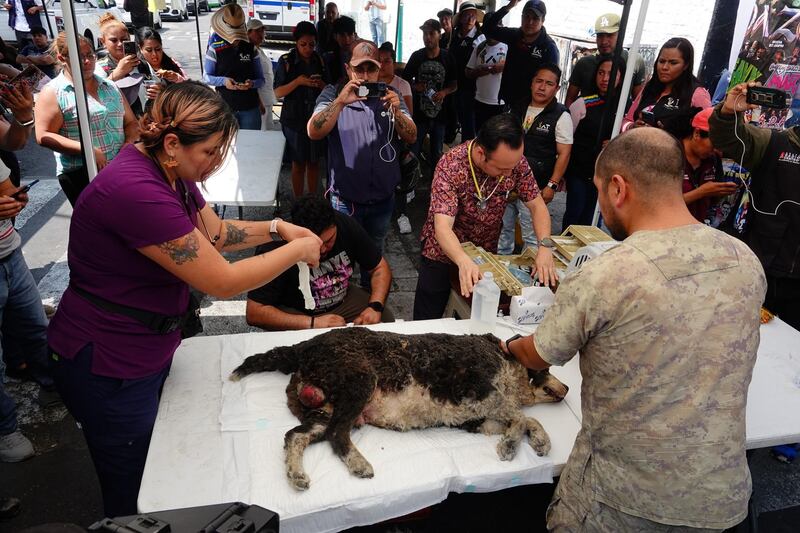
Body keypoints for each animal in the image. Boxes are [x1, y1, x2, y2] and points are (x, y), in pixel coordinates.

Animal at [231, 328, 568, 490]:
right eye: (547, 367)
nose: (566, 389)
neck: (505, 361)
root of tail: (302, 348)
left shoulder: (474, 419)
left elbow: (524, 419)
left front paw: (536, 440)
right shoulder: (483, 393)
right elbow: (522, 416)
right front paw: (513, 445)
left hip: (321, 410)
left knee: (296, 436)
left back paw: (296, 475)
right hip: (359, 382)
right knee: (337, 435)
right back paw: (359, 464)